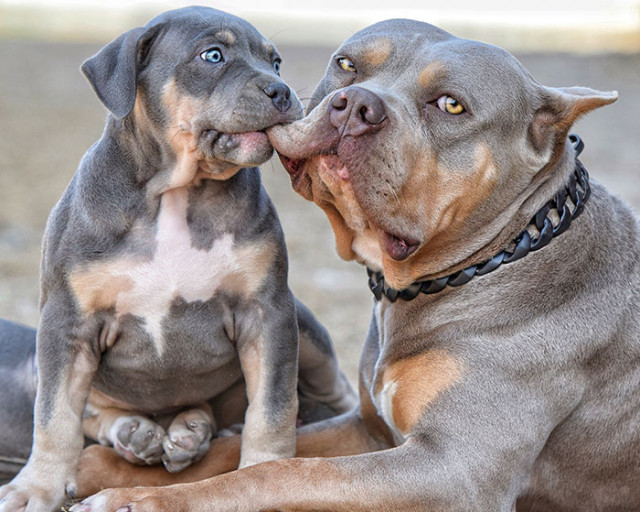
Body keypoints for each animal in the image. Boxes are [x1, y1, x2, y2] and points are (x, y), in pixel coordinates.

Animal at [0, 7, 356, 512]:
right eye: (213, 55)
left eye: (276, 62)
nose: (282, 91)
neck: (177, 191)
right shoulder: (66, 323)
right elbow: (54, 414)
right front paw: (37, 486)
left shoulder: (266, 314)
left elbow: (272, 405)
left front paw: (265, 468)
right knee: (96, 412)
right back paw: (140, 431)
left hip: (304, 328)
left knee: (334, 393)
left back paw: (195, 429)